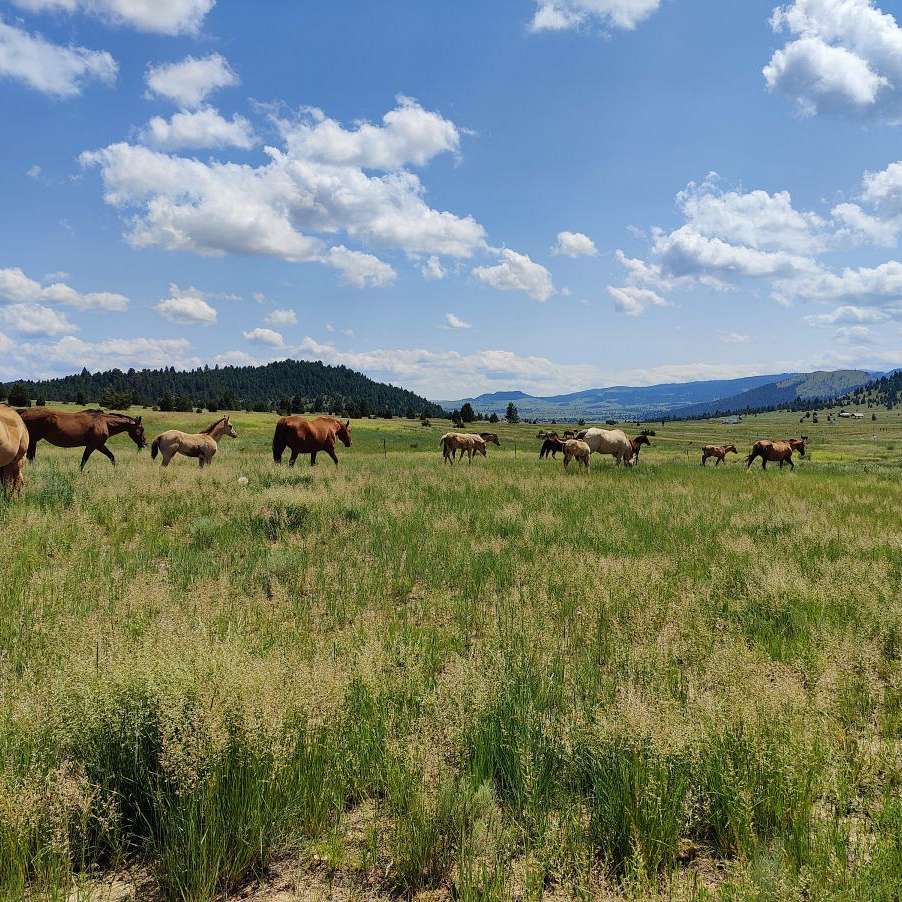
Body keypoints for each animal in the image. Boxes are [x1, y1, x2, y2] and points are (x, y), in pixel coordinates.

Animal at [18, 406, 147, 470]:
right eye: (141, 429)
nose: (145, 443)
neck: (104, 422)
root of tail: (23, 413)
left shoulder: (100, 445)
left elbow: (112, 457)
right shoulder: (93, 445)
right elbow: (84, 460)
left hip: (33, 441)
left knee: (31, 457)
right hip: (33, 440)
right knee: (30, 457)